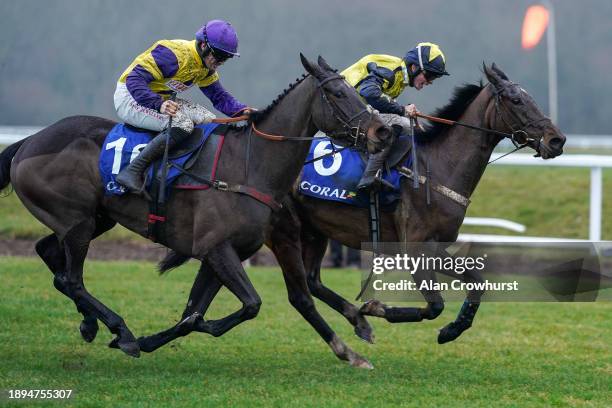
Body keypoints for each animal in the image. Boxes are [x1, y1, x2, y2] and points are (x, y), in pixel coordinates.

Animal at [0, 55, 392, 360]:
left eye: (356, 90)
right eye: (339, 93)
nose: (381, 132)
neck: (250, 165)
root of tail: (28, 142)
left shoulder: (221, 253)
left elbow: (197, 311)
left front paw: (162, 335)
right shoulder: (217, 249)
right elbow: (248, 305)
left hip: (94, 219)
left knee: (50, 256)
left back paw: (91, 324)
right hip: (77, 222)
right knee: (71, 278)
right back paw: (120, 330)